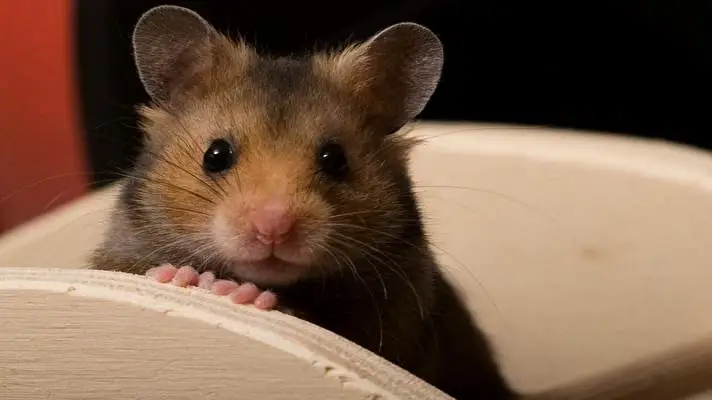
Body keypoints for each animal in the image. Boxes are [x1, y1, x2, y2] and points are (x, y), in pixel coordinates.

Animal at [91, 5, 712, 400]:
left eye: (334, 159)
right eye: (216, 155)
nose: (273, 229)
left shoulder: (395, 329)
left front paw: (235, 292)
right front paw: (184, 278)